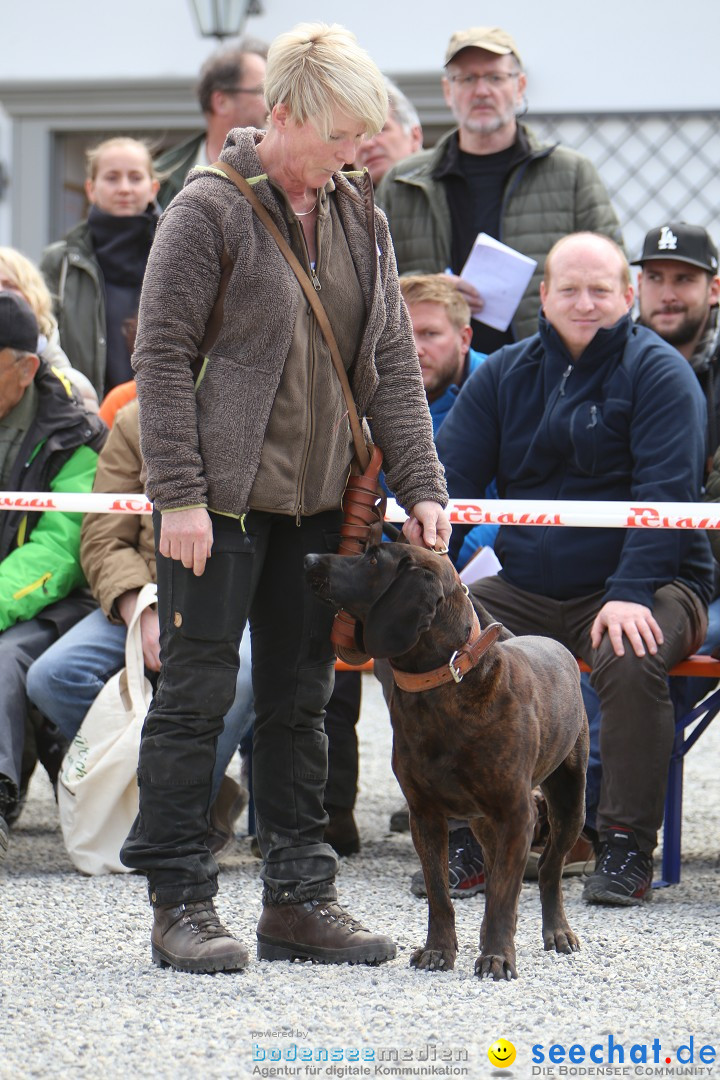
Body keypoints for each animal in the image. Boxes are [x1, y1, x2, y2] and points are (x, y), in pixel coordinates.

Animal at [306, 544, 587, 984]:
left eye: (373, 559)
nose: (308, 559)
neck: (442, 686)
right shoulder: (425, 814)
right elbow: (440, 893)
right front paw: (439, 951)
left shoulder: (517, 813)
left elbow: (503, 895)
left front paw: (497, 957)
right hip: (486, 824)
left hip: (569, 802)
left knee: (548, 870)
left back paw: (557, 931)